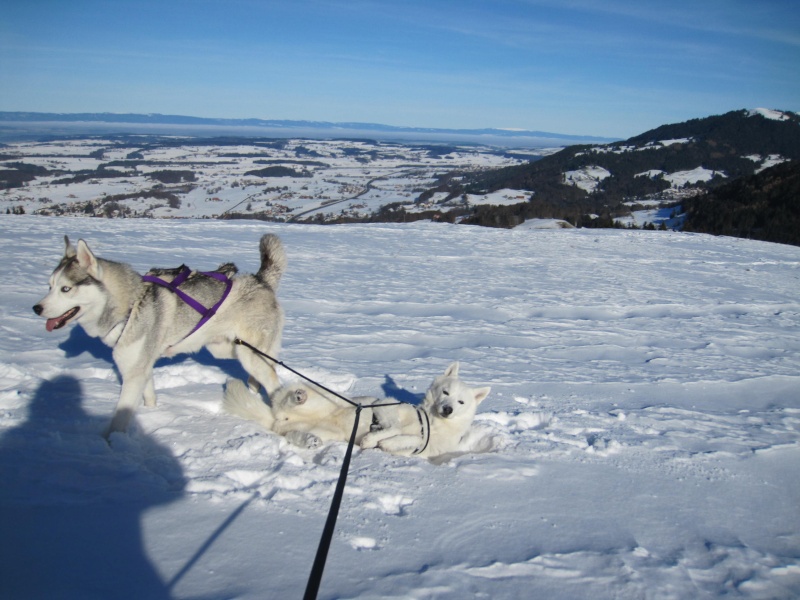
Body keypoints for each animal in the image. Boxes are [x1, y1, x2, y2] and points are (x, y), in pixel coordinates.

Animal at [33, 234, 288, 436]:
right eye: (49, 286)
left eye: (66, 289)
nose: (36, 308)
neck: (130, 306)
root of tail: (260, 280)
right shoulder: (141, 366)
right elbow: (149, 396)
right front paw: (153, 414)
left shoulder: (134, 372)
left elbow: (119, 419)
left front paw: (110, 446)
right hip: (228, 349)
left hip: (248, 354)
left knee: (272, 378)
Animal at [360, 364, 488, 458]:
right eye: (445, 392)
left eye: (461, 402)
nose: (448, 409)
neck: (433, 424)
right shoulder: (385, 404)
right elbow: (396, 428)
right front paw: (370, 440)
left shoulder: (425, 449)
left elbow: (418, 439)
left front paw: (389, 443)